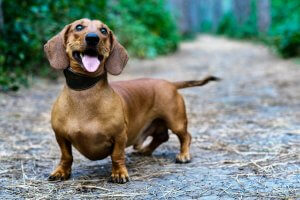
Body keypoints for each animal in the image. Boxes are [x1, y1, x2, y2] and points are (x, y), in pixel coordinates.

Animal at [44, 18, 218, 183]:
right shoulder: (60, 136)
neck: (85, 92)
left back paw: (183, 155)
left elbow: (117, 156)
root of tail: (170, 83)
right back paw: (145, 150)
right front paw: (61, 172)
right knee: (162, 137)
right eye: (79, 27)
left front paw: (119, 173)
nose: (93, 38)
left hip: (176, 121)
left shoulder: (120, 136)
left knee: (186, 136)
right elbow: (66, 156)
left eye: (103, 30)